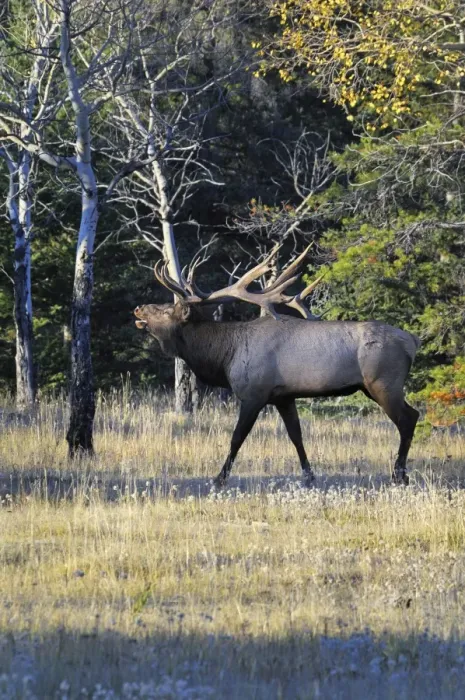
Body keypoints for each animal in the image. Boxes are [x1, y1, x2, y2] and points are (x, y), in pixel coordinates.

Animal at [134, 246, 420, 487]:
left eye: (166, 310)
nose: (139, 308)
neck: (224, 356)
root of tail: (412, 341)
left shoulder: (254, 393)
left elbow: (237, 437)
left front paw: (219, 478)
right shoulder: (284, 397)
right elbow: (296, 435)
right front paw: (309, 475)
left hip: (383, 382)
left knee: (408, 418)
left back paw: (399, 474)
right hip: (373, 387)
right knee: (411, 416)